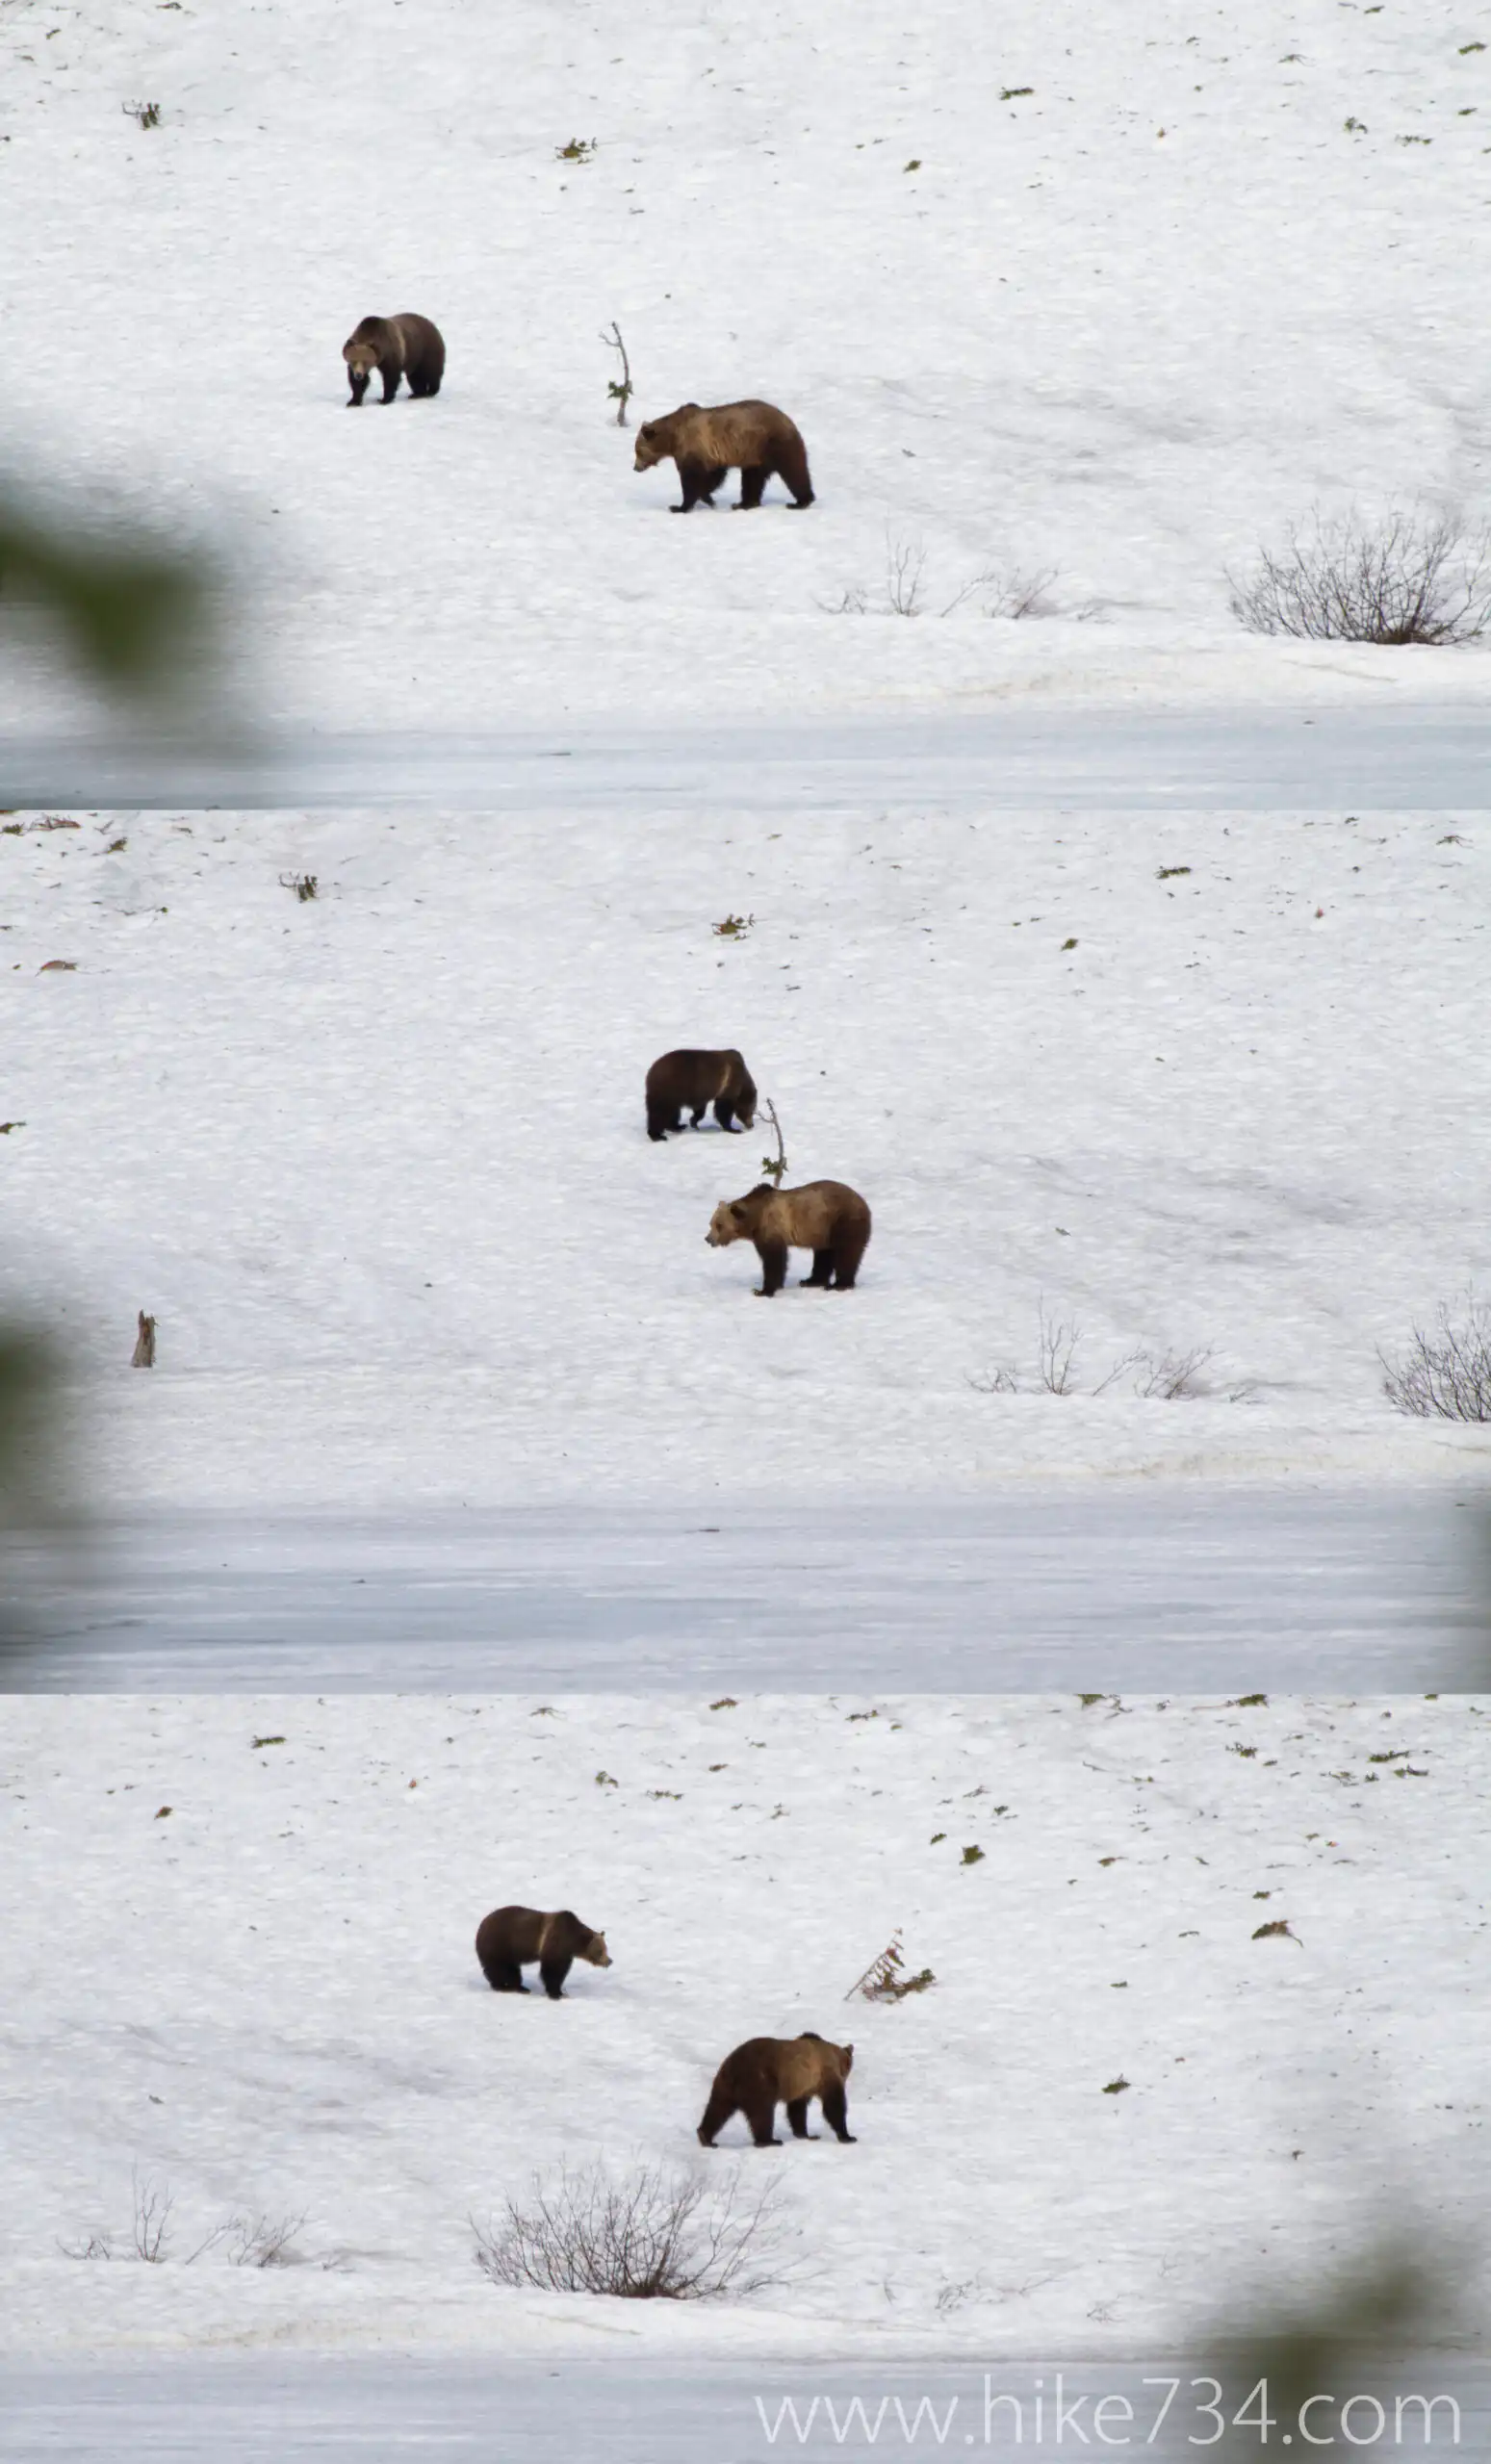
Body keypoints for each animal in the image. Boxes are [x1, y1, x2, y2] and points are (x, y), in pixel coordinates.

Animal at [474, 1905, 611, 1999]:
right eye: (600, 1950)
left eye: (606, 1949)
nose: (609, 1961)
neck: (572, 1941)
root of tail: (481, 1926)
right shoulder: (556, 1944)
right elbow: (552, 1971)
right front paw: (556, 1993)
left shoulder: (566, 1954)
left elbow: (561, 1970)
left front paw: (560, 1992)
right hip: (500, 1945)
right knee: (500, 1968)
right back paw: (505, 1986)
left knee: (511, 1970)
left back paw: (519, 1987)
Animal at [632, 400, 814, 513]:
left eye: (638, 451)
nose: (635, 468)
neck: (673, 438)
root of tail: (788, 420)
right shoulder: (712, 454)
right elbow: (713, 476)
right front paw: (708, 498)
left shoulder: (693, 447)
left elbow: (692, 479)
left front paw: (679, 507)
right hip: (755, 455)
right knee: (752, 479)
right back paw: (744, 503)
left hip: (773, 443)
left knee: (794, 471)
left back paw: (800, 502)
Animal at [697, 2032, 856, 2148]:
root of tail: (735, 2067)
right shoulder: (825, 2075)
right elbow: (834, 2105)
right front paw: (848, 2136)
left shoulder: (801, 2085)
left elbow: (797, 2108)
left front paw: (806, 2134)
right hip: (760, 2080)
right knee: (762, 2112)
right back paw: (769, 2141)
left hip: (724, 2084)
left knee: (717, 2108)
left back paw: (706, 2138)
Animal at [706, 1180, 871, 1297]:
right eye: (711, 1223)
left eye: (719, 1225)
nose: (708, 1239)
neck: (755, 1219)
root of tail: (864, 1203)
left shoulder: (771, 1229)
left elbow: (774, 1260)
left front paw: (762, 1291)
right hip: (823, 1230)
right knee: (824, 1255)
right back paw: (811, 1281)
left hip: (842, 1221)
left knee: (846, 1253)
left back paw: (838, 1285)